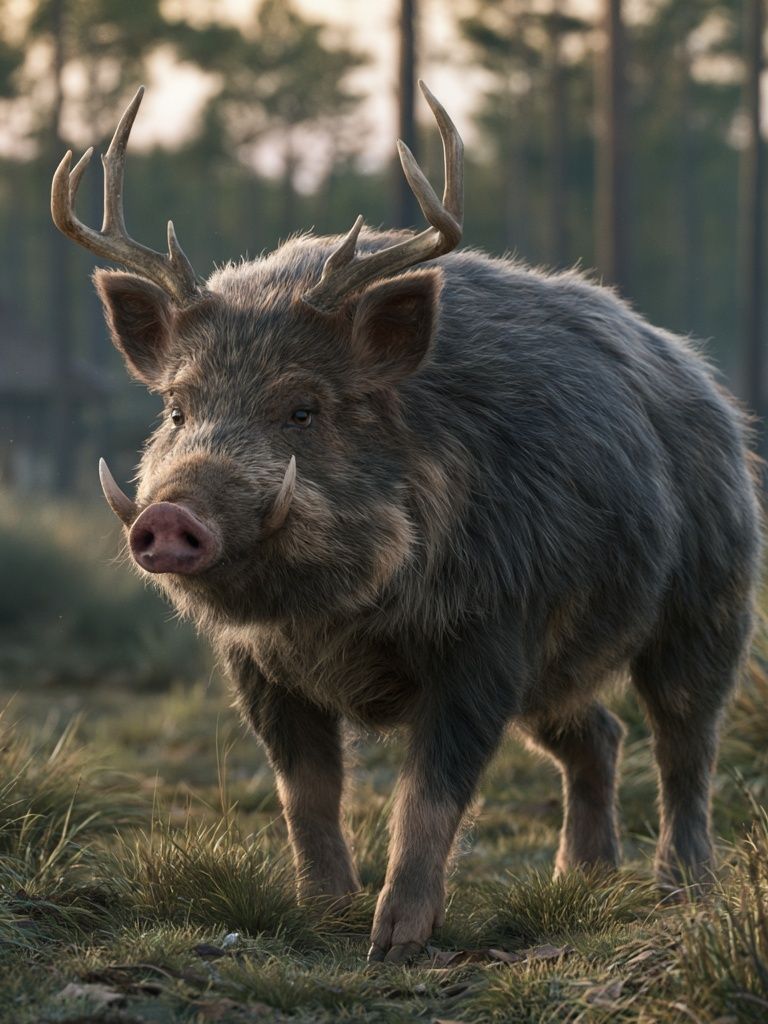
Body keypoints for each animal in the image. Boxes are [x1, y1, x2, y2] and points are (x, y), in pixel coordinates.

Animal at [51, 82, 761, 963]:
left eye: (303, 408)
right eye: (178, 409)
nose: (169, 515)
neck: (330, 619)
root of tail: (706, 383)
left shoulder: (487, 636)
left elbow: (429, 796)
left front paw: (392, 943)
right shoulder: (256, 666)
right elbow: (305, 795)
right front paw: (323, 915)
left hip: (710, 600)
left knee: (684, 742)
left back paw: (681, 890)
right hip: (558, 669)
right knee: (598, 734)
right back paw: (582, 882)